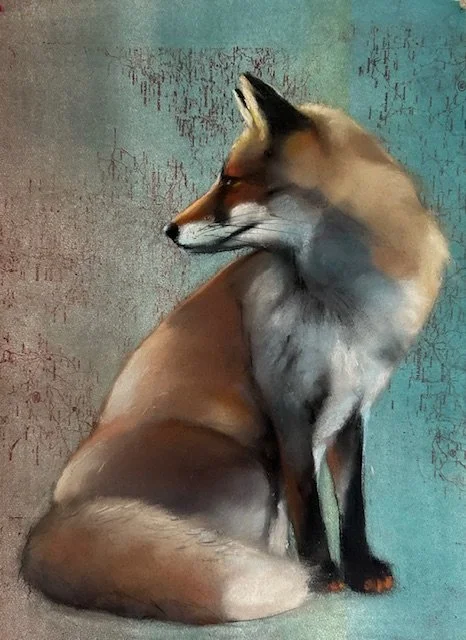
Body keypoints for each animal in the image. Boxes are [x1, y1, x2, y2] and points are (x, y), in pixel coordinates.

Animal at [21, 74, 448, 625]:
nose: (169, 229)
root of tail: (52, 522)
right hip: (250, 472)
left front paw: (359, 571)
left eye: (229, 181)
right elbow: (309, 505)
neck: (344, 309)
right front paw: (323, 575)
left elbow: (351, 505)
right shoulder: (289, 406)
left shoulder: (352, 409)